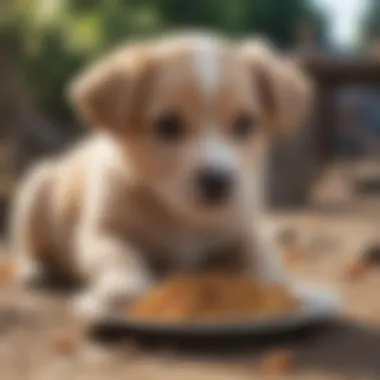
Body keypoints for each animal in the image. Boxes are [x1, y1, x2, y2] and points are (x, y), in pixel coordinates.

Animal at [9, 31, 320, 318]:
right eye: (168, 125)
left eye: (245, 124)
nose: (217, 181)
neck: (181, 218)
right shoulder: (102, 231)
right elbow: (117, 255)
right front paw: (122, 289)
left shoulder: (242, 228)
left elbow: (262, 256)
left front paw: (287, 287)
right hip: (35, 190)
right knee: (29, 244)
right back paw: (35, 269)